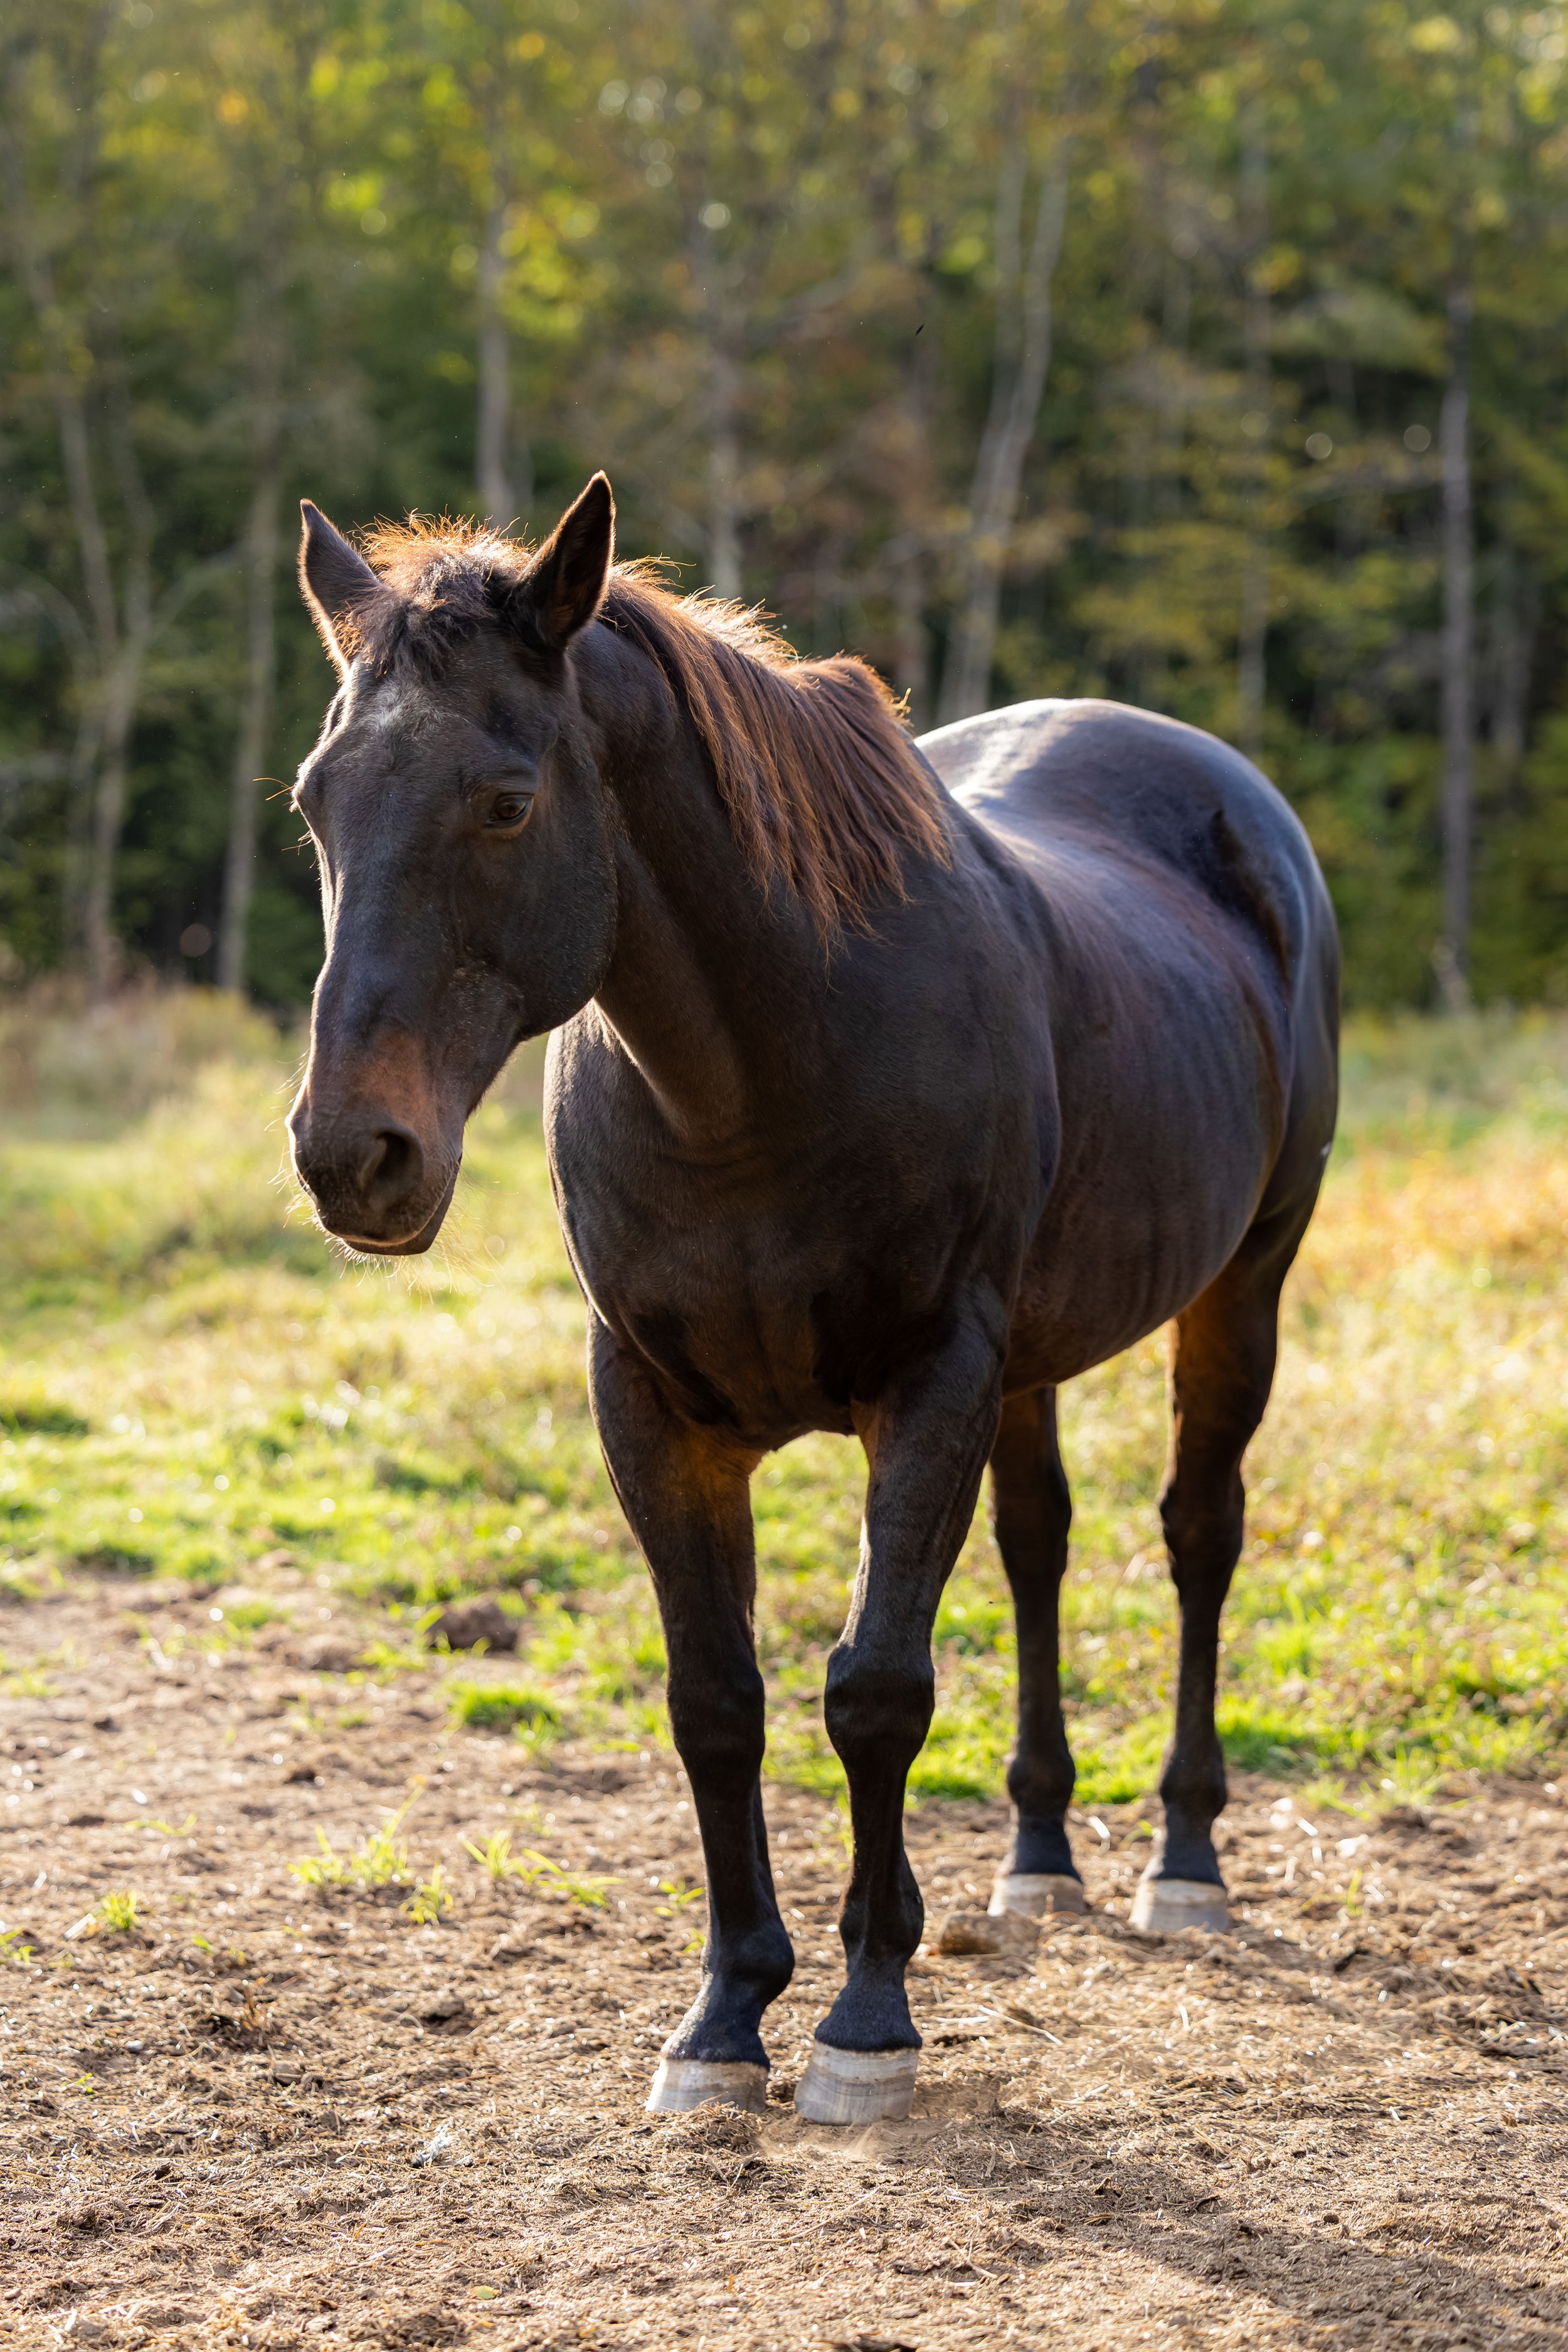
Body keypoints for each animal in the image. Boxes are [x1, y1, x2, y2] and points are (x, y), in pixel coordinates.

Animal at [286, 473, 1339, 2126]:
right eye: (315, 802)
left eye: (505, 800)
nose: (353, 1154)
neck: (759, 1074)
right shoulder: (651, 1405)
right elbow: (717, 1697)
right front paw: (724, 2014)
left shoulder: (930, 1380)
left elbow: (875, 1689)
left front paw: (865, 2015)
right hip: (1032, 1361)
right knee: (1039, 1548)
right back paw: (1039, 1855)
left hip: (1243, 1283)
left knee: (1197, 1537)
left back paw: (1182, 1858)